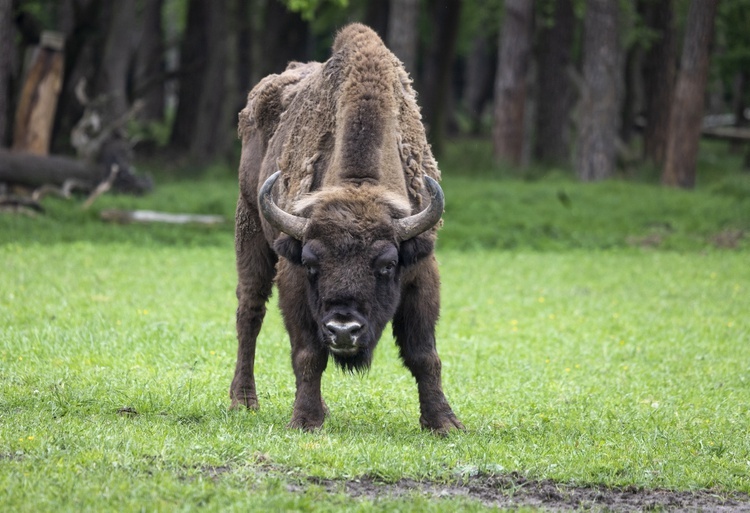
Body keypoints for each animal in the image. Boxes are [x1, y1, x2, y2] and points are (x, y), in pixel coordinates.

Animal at [229, 23, 464, 432]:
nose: (343, 330)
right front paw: (305, 420)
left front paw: (444, 423)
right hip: (250, 225)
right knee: (250, 312)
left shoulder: (420, 272)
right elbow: (308, 353)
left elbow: (423, 354)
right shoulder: (293, 275)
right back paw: (243, 400)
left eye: (387, 265)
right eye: (312, 264)